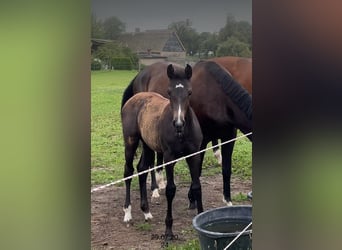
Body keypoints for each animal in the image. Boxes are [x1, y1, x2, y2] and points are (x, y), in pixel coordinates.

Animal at [121, 60, 252, 205]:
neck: (218, 98)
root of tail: (140, 75)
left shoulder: (229, 138)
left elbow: (226, 169)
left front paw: (227, 199)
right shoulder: (201, 142)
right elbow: (198, 170)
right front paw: (192, 199)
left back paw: (160, 183)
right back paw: (154, 189)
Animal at [121, 64, 204, 240]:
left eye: (189, 92)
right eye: (169, 92)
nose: (178, 123)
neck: (182, 133)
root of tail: (134, 98)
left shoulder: (194, 156)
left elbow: (196, 186)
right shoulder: (169, 158)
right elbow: (170, 190)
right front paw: (168, 231)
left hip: (147, 144)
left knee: (142, 169)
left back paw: (146, 211)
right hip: (130, 142)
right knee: (128, 172)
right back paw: (127, 213)